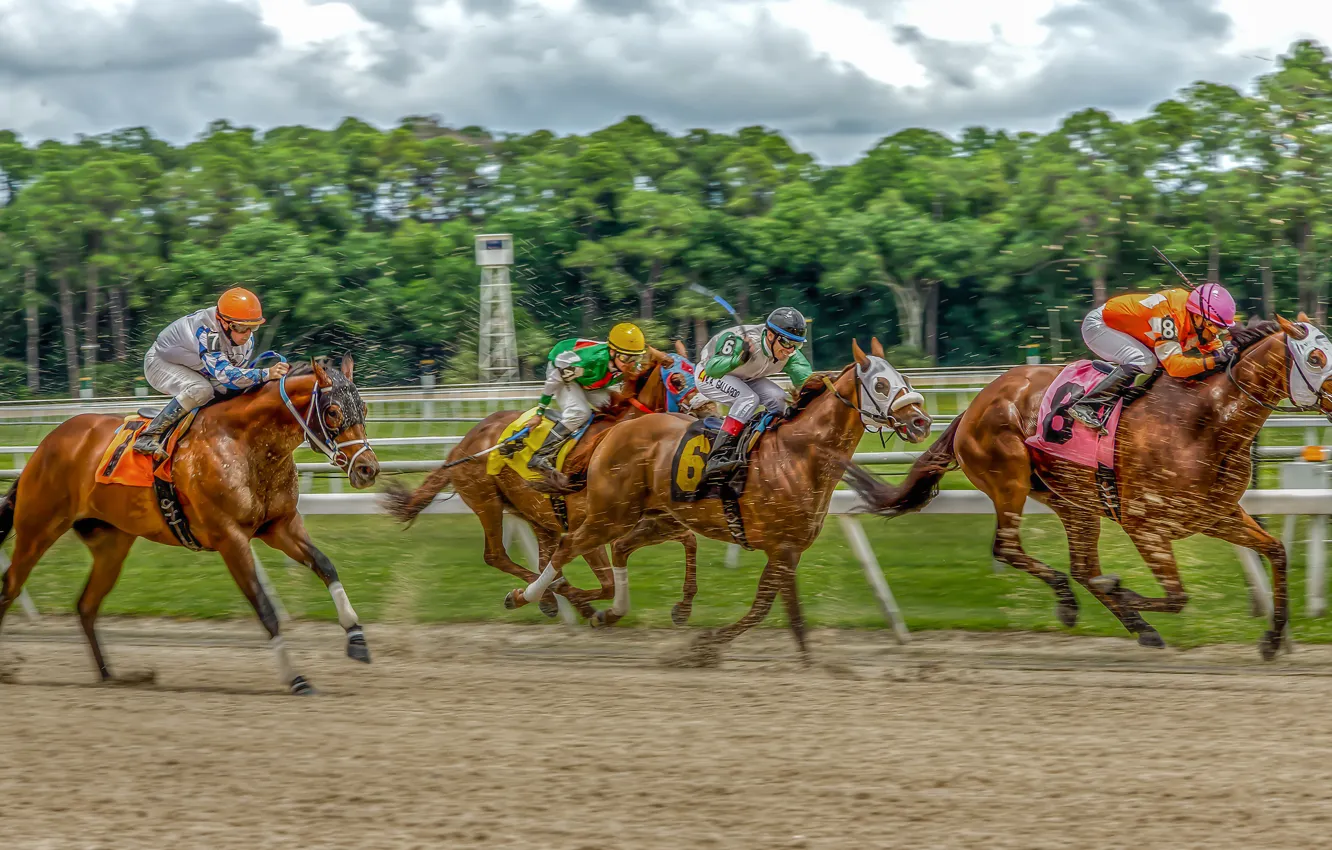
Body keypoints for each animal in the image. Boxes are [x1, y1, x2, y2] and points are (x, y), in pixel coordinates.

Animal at [0, 355, 379, 694]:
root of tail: (47, 443)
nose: (368, 469)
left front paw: (356, 638)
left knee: (86, 605)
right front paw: (296, 678)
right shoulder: (230, 538)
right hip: (39, 528)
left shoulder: (280, 525)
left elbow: (326, 565)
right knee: (10, 587)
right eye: (333, 412)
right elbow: (264, 607)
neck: (246, 444)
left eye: (363, 409)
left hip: (112, 544)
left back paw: (111, 676)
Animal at [382, 342, 719, 624]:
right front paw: (573, 599)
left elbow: (688, 539)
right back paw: (548, 597)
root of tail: (462, 445)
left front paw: (683, 607)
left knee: (542, 555)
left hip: (535, 515)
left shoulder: (645, 520)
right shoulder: (590, 526)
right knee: (497, 555)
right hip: (486, 502)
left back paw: (554, 599)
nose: (711, 412)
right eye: (677, 380)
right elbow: (606, 583)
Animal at [503, 338, 932, 660]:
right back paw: (525, 595)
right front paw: (703, 646)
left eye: (905, 377)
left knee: (618, 548)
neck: (799, 453)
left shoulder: (788, 549)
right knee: (567, 546)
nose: (921, 422)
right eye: (880, 385)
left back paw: (604, 612)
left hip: (651, 516)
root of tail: (614, 432)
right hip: (609, 512)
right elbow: (768, 609)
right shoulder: (781, 547)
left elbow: (776, 611)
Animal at [839, 315, 1332, 660]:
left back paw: (1133, 624)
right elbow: (1176, 596)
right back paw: (1074, 604)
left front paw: (1272, 639)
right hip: (1010, 478)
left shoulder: (1217, 514)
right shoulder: (1145, 525)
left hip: (1074, 501)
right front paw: (1123, 591)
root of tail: (975, 403)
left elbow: (1276, 553)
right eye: (1315, 357)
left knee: (1080, 567)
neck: (1204, 421)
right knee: (1010, 548)